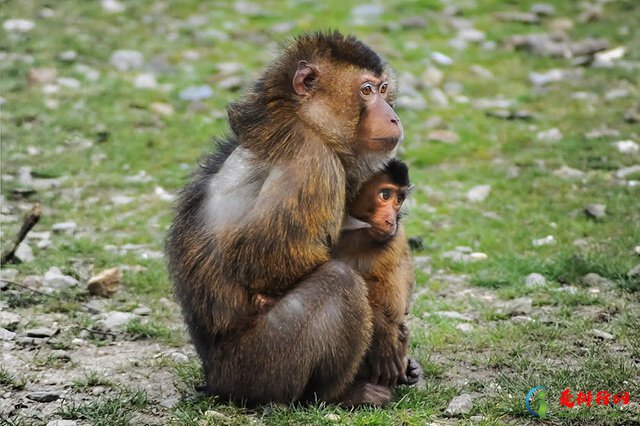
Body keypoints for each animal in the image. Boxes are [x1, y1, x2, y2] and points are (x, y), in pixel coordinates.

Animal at [166, 32, 404, 406]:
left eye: (383, 89)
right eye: (366, 91)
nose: (393, 117)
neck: (303, 119)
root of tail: (214, 377)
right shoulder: (313, 162)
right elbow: (262, 260)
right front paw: (383, 329)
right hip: (258, 366)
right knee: (340, 280)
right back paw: (340, 393)